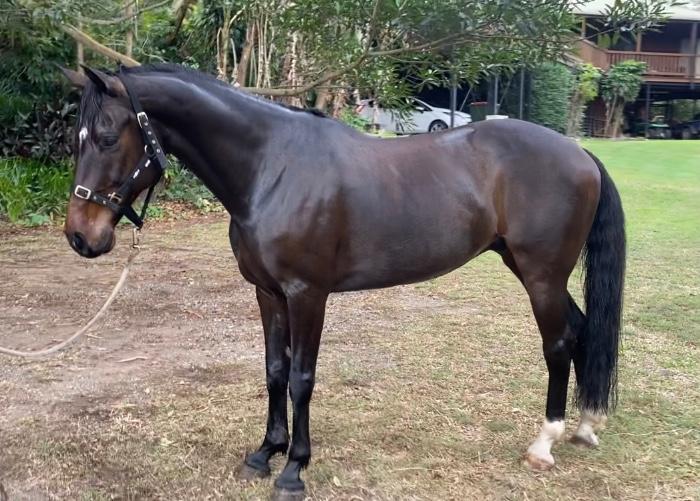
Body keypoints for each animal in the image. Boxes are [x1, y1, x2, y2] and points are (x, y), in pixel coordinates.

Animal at [59, 64, 625, 500]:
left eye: (107, 137)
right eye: (77, 140)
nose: (81, 236)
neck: (271, 167)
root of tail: (579, 153)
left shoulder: (307, 295)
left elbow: (301, 378)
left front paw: (293, 469)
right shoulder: (268, 294)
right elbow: (274, 371)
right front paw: (264, 453)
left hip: (541, 274)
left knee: (558, 341)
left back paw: (544, 443)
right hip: (532, 270)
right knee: (581, 330)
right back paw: (586, 426)